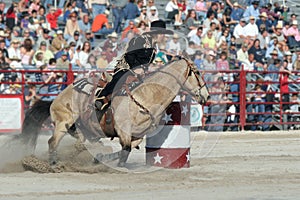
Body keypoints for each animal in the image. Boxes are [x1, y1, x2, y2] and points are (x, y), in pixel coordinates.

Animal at [20, 57, 209, 168]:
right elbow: (124, 150)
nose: (206, 95)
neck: (145, 96)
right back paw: (53, 163)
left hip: (83, 129)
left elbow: (126, 150)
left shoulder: (137, 135)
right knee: (52, 141)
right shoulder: (123, 131)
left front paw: (101, 158)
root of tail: (58, 97)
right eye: (198, 72)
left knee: (83, 142)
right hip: (63, 123)